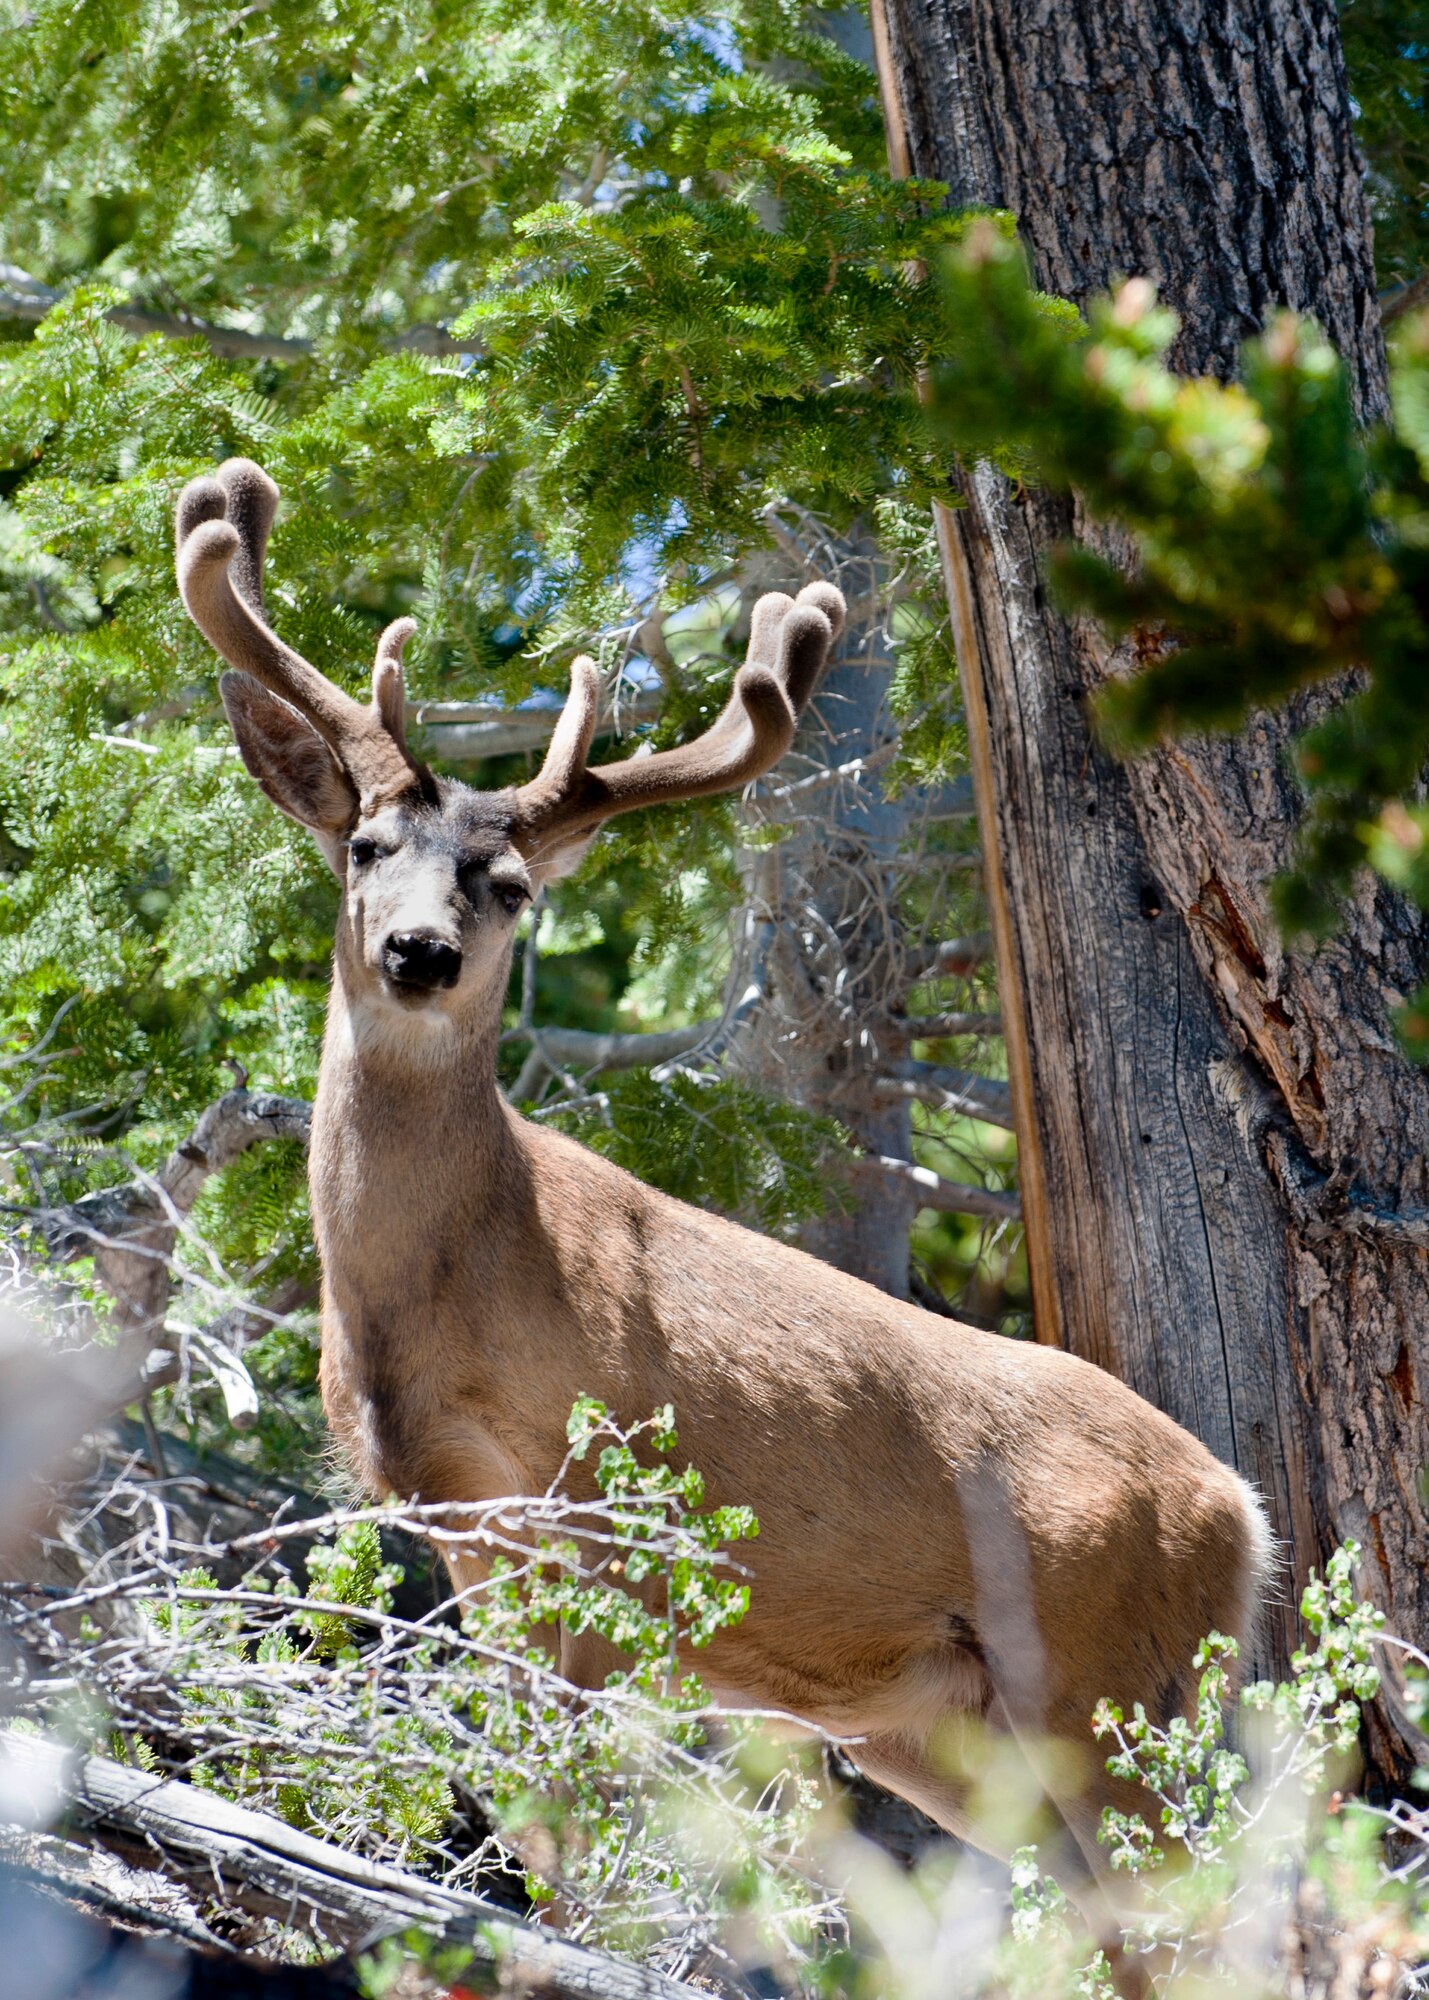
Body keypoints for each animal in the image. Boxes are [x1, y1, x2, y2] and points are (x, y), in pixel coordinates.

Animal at [172, 464, 1264, 1936]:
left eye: (508, 883)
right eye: (362, 845)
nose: (417, 951)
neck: (443, 1298)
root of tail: (1245, 1518)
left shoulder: (593, 1514)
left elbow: (571, 1822)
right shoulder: (456, 1524)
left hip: (1116, 1688)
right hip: (955, 1731)